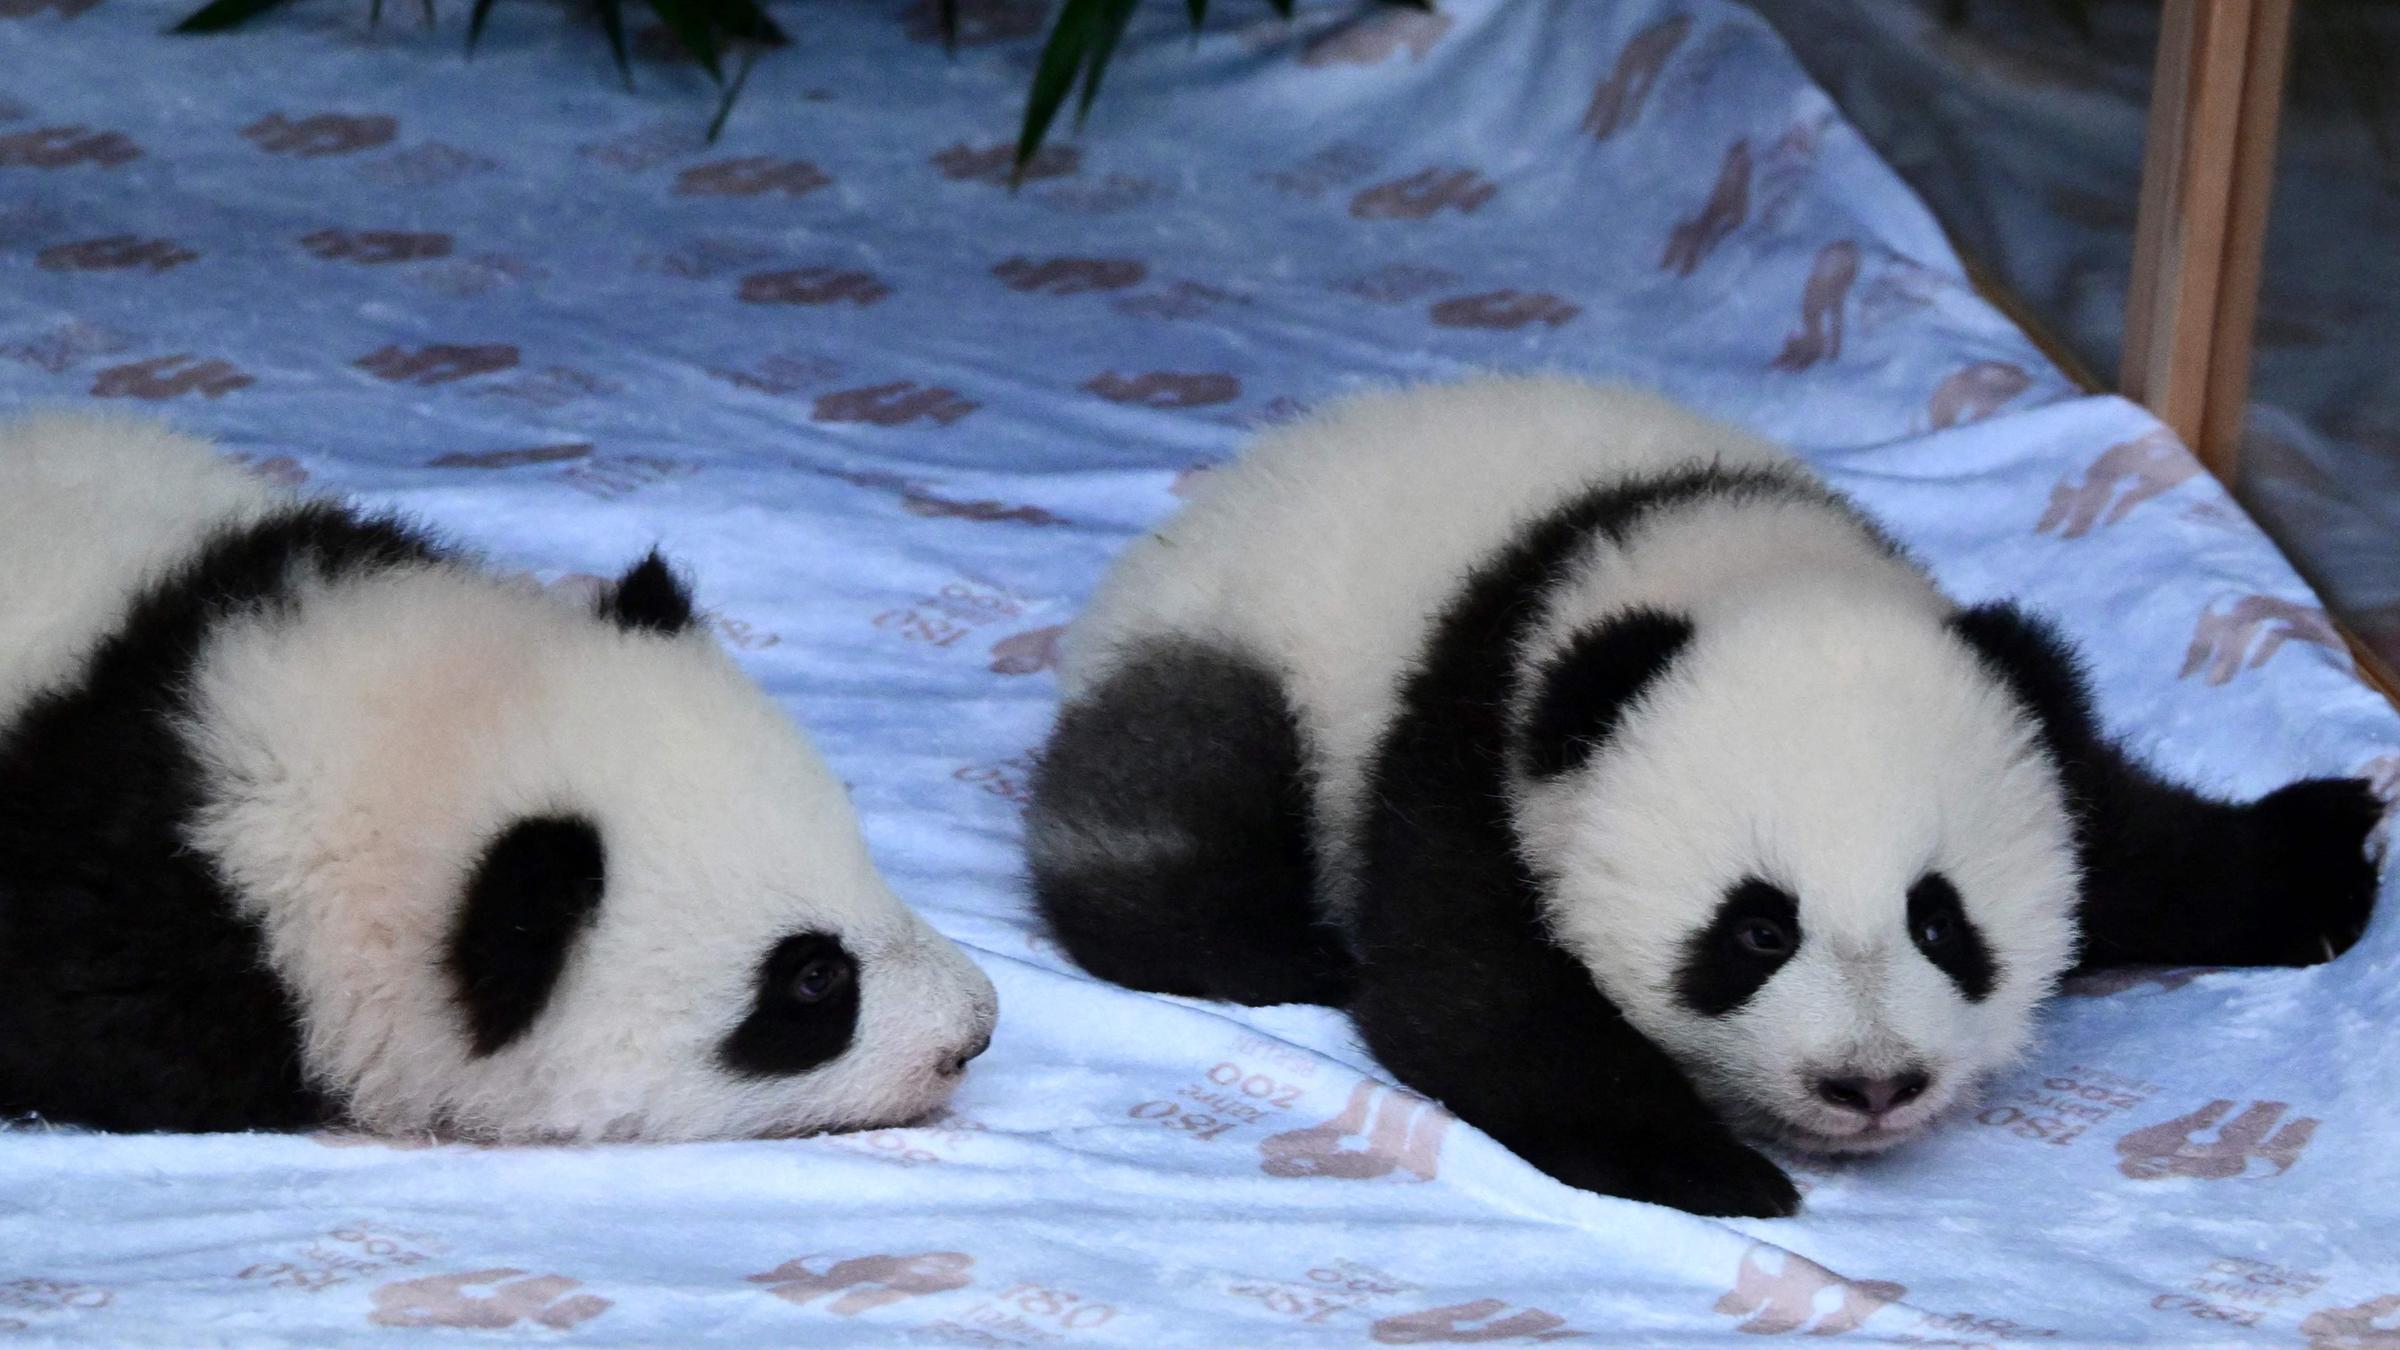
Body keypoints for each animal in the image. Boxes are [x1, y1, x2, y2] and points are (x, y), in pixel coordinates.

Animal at [1026, 376, 2383, 1217]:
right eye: (1757, 928)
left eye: (1940, 920)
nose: (1871, 1085)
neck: (1713, 559)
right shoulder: (1476, 748)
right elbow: (1469, 997)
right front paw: (1704, 1166)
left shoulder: (2011, 697)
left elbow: (2125, 830)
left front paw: (2325, 854)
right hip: (1245, 649)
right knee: (1181, 797)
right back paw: (1266, 945)